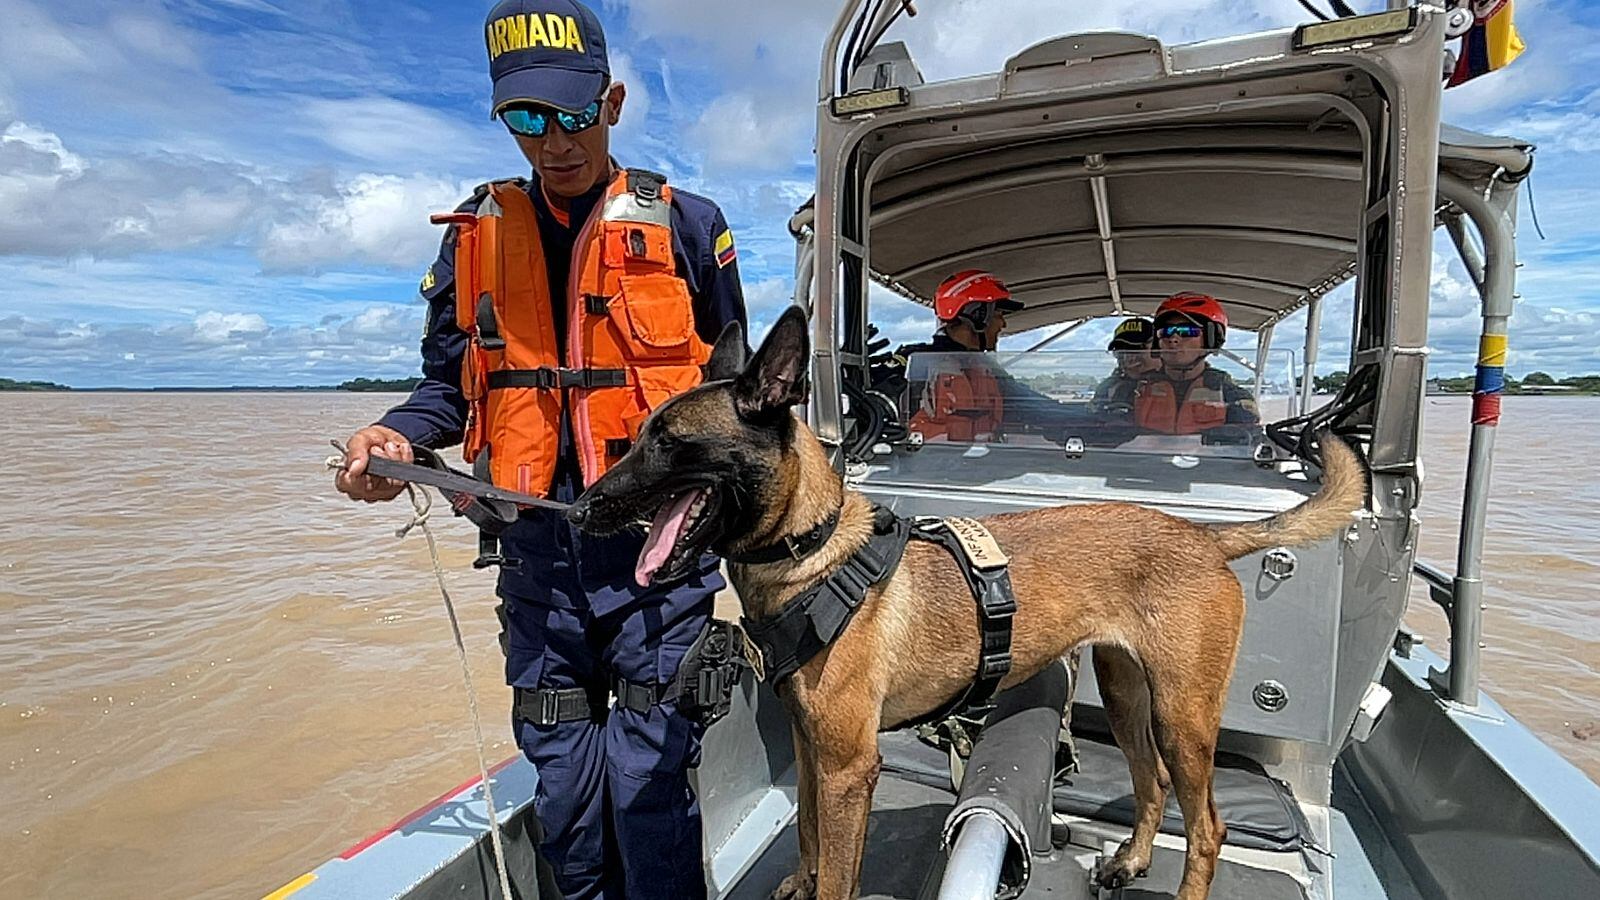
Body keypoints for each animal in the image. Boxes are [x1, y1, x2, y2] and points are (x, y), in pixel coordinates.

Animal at [569, 304, 1369, 890]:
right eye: (640, 434)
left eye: (668, 441)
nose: (579, 510)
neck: (811, 550)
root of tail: (1203, 538)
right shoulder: (809, 745)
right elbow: (807, 836)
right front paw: (798, 879)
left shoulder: (849, 768)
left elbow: (839, 872)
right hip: (1127, 695)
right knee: (1153, 783)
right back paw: (1131, 861)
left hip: (1183, 713)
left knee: (1208, 828)